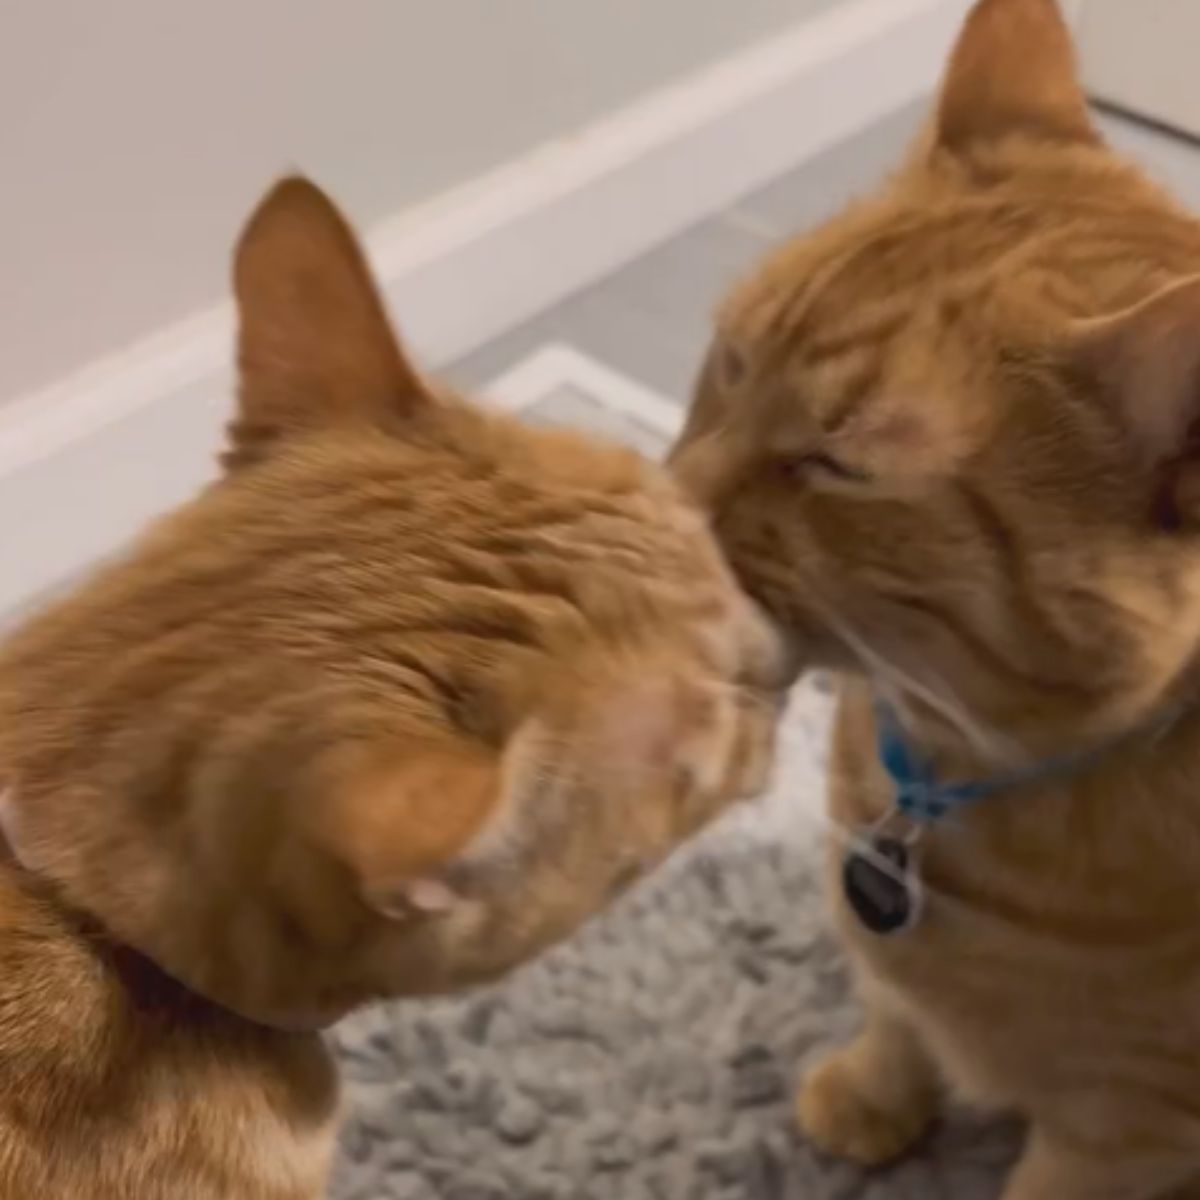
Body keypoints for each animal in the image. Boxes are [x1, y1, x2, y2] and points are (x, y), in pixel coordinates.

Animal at [676, 0, 1200, 1195]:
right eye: (732, 361)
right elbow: (895, 1020)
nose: (667, 501)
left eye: (838, 466)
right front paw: (872, 1097)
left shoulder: (1129, 1130)